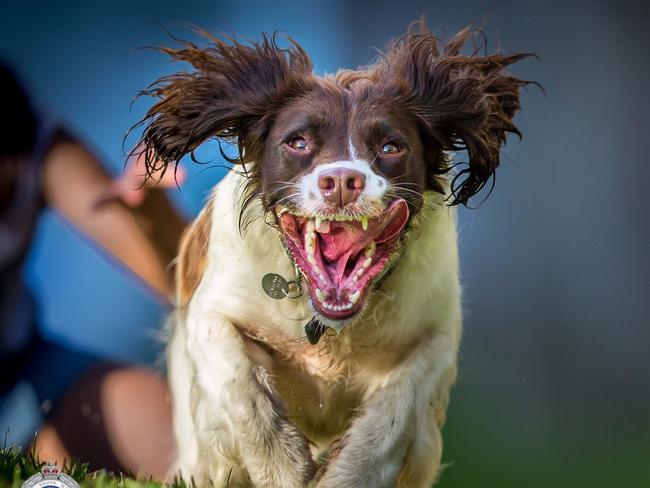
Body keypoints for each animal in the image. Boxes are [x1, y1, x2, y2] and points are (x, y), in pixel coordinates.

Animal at [135, 23, 528, 488]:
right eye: (298, 142)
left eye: (391, 146)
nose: (342, 180)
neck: (327, 326)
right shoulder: (211, 312)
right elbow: (243, 387)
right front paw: (284, 468)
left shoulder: (436, 333)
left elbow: (397, 410)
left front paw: (348, 474)